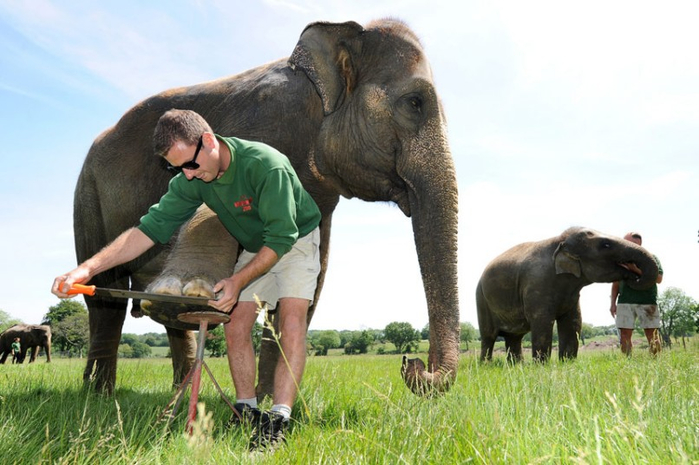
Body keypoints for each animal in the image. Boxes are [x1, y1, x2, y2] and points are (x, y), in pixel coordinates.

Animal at [74, 18, 462, 396]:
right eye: (415, 102)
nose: (412, 364)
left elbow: (310, 280)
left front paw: (267, 402)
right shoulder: (263, 121)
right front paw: (187, 294)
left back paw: (175, 387)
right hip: (87, 194)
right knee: (105, 301)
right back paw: (99, 395)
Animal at [478, 227, 660, 360]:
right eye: (606, 244)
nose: (634, 274)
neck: (559, 241)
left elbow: (573, 322)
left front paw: (567, 362)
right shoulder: (536, 283)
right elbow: (542, 322)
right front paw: (541, 367)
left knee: (514, 337)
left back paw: (517, 366)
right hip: (481, 299)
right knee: (488, 337)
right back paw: (486, 365)